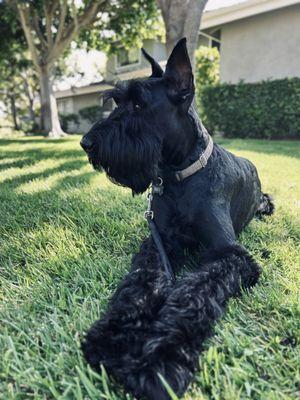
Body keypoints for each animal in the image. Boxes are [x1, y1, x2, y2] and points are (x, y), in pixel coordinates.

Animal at [80, 38, 274, 400]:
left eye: (139, 105)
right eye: (117, 101)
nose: (86, 143)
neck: (180, 175)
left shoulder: (229, 254)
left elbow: (193, 294)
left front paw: (159, 360)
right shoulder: (160, 241)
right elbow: (139, 284)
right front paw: (113, 336)